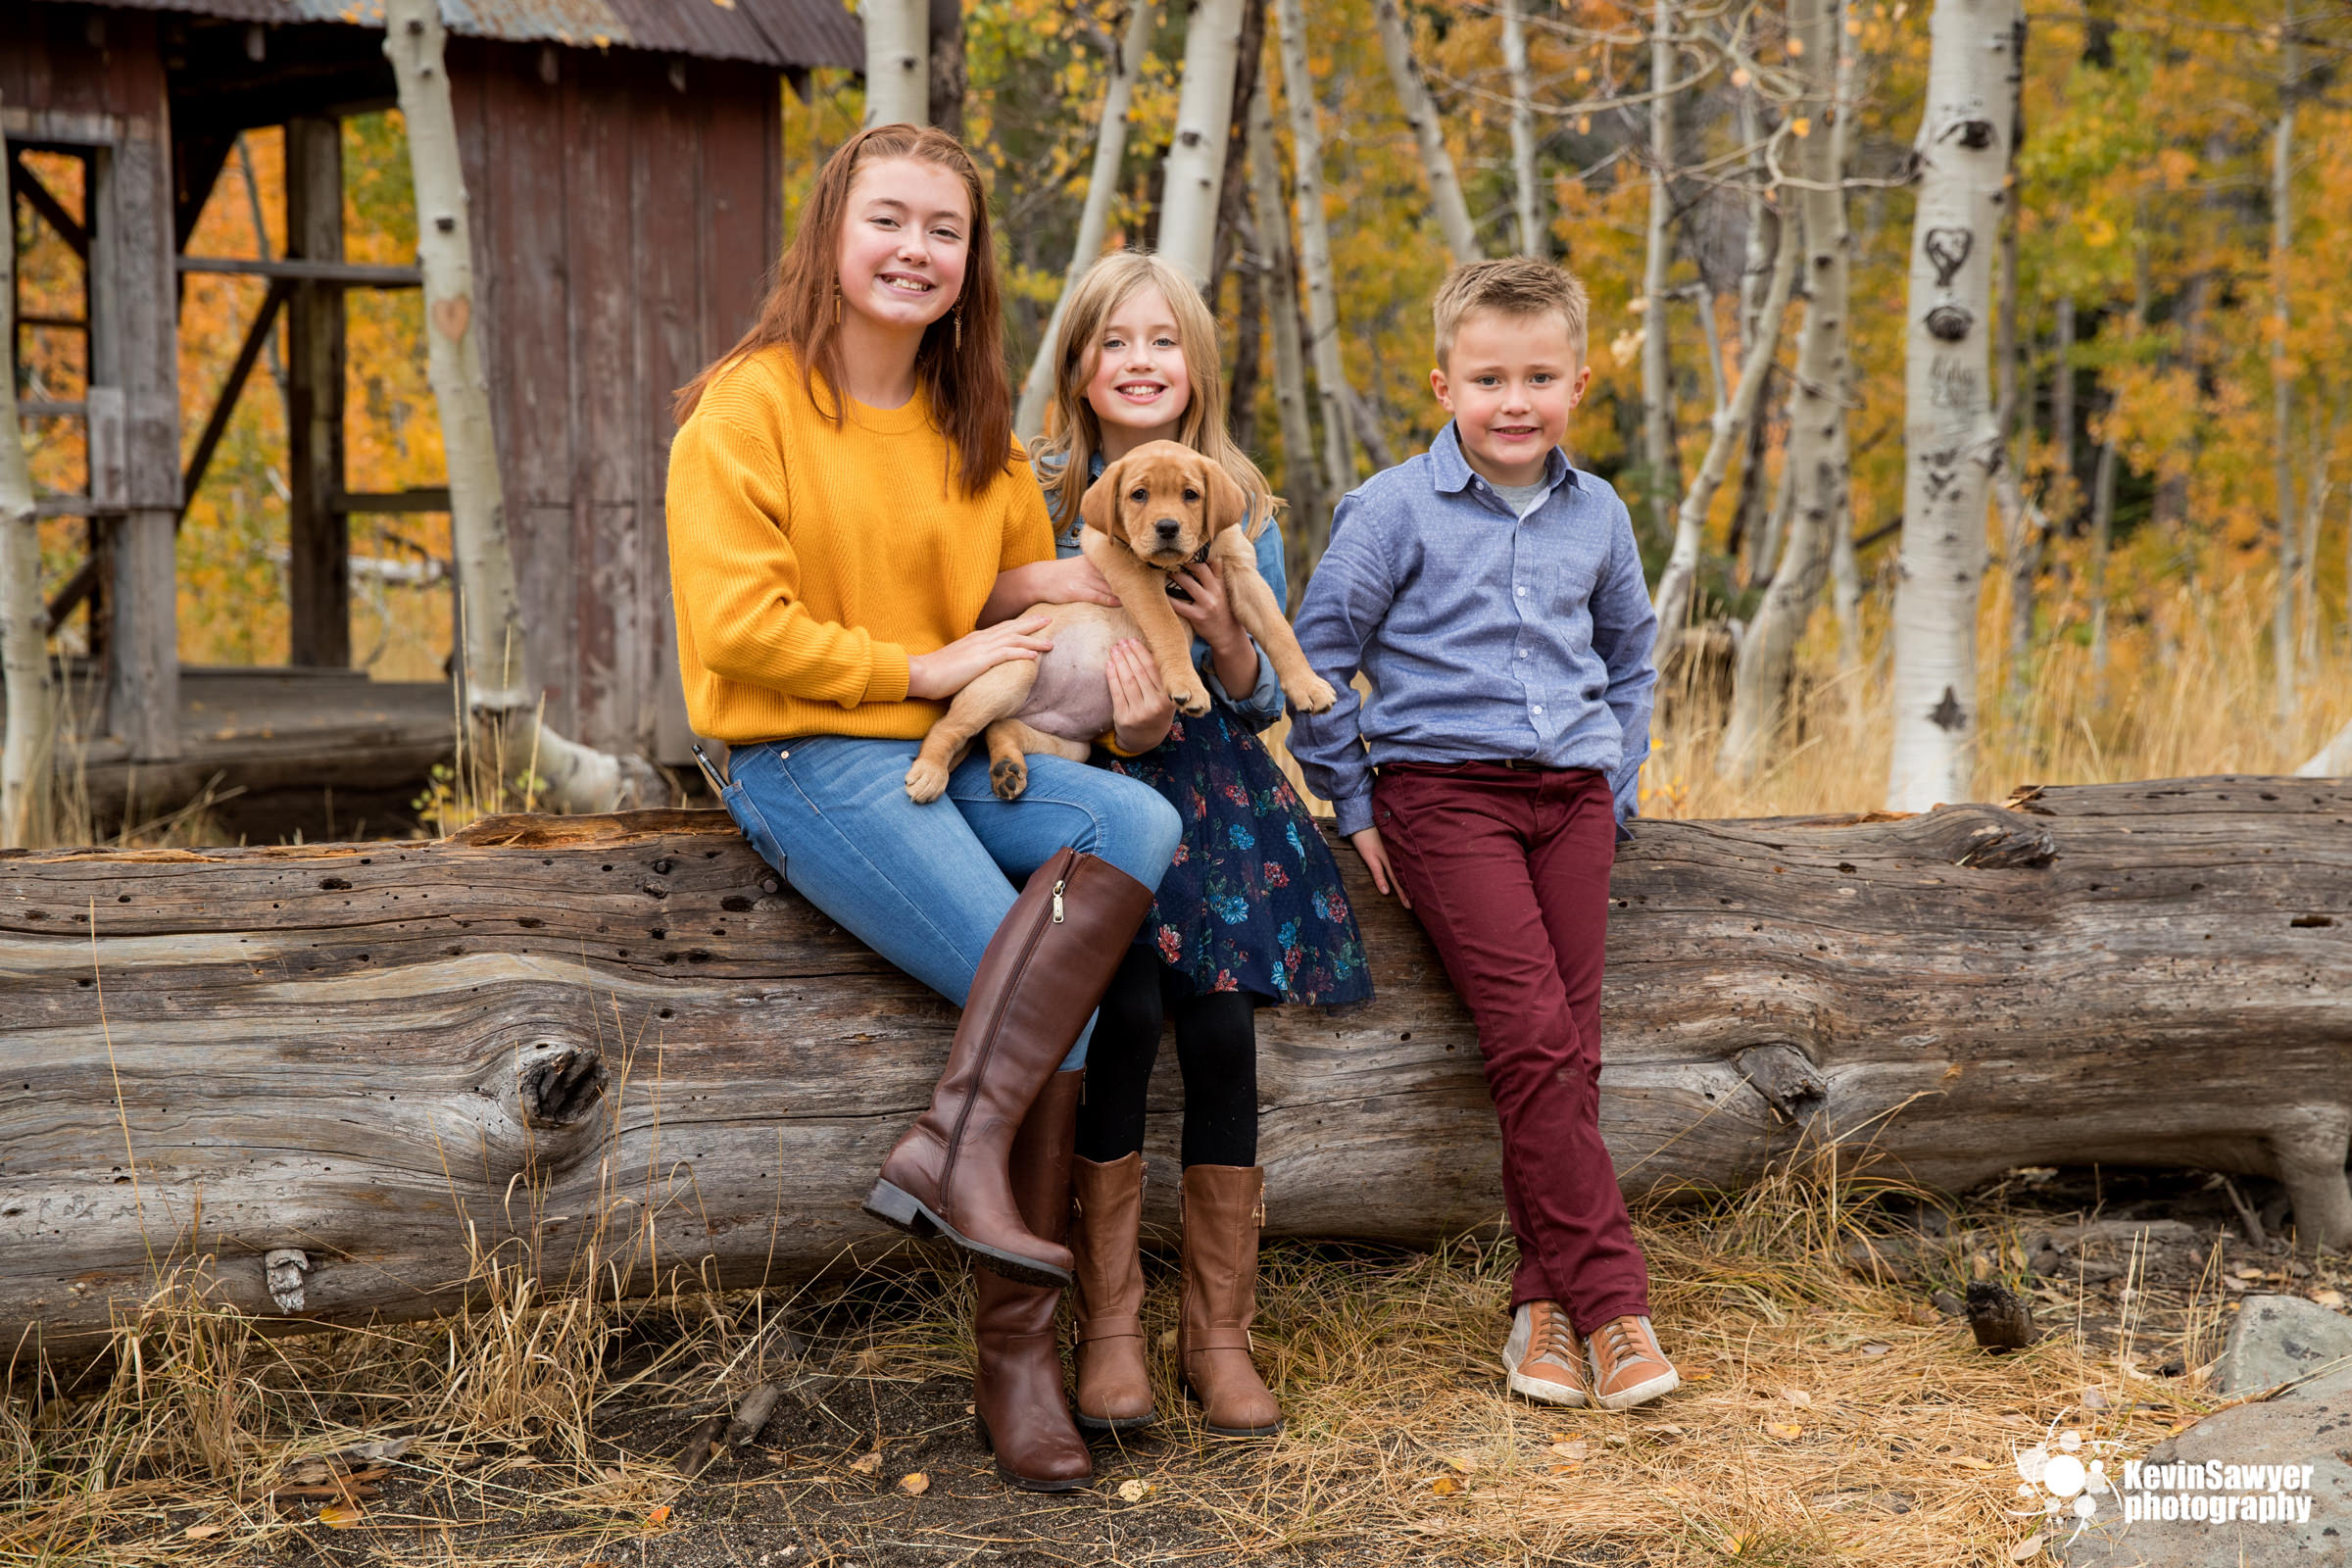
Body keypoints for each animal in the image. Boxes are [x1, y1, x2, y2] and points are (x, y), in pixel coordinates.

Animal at [903, 446, 1336, 804]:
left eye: (1191, 494)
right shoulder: (1130, 570)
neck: (1177, 567)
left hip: (1070, 744)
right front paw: (1188, 686)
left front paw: (1310, 687)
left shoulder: (1244, 574)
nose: (1167, 527)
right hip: (1015, 672)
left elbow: (1279, 631)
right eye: (1138, 494)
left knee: (1000, 728)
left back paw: (1007, 770)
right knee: (946, 728)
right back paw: (929, 774)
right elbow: (1166, 625)